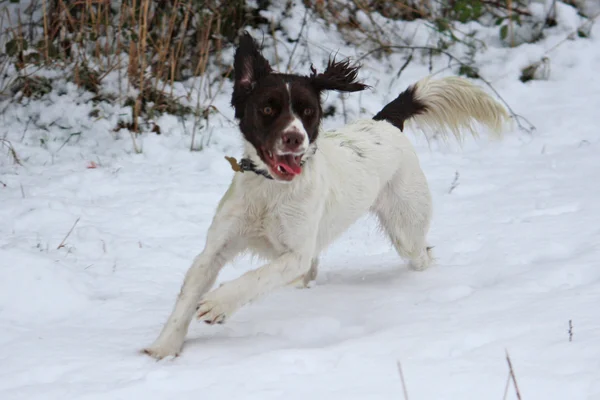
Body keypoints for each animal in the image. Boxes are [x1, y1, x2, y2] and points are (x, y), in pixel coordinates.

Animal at [143, 32, 508, 360]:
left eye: (308, 112)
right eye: (267, 108)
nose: (294, 138)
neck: (270, 192)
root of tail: (386, 123)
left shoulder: (296, 253)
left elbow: (255, 277)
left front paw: (219, 303)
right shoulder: (216, 248)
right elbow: (188, 295)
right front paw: (164, 348)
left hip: (407, 230)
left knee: (422, 255)